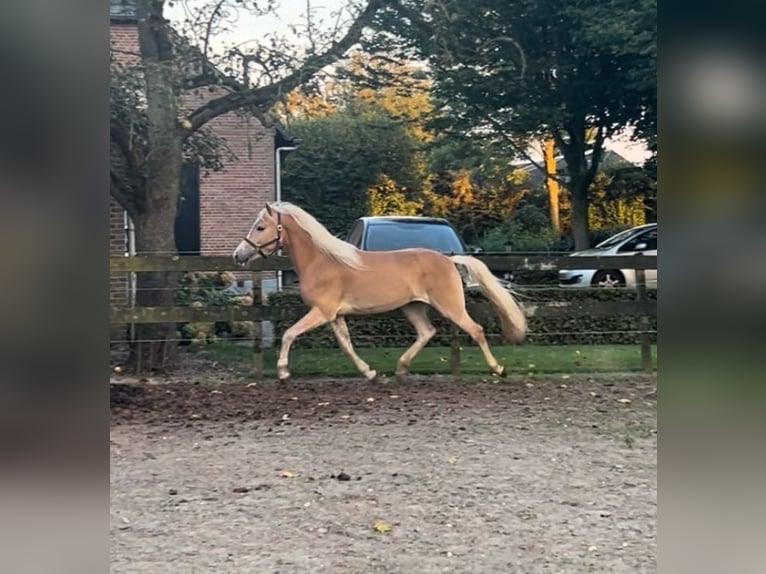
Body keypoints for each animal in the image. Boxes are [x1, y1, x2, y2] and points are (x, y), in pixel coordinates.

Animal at [234, 202, 528, 382]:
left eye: (260, 227)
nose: (238, 255)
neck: (322, 261)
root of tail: (449, 260)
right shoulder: (335, 316)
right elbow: (346, 346)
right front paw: (369, 373)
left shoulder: (322, 312)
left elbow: (288, 334)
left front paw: (283, 372)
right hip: (413, 307)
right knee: (427, 332)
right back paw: (400, 368)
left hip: (450, 306)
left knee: (476, 330)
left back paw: (499, 369)